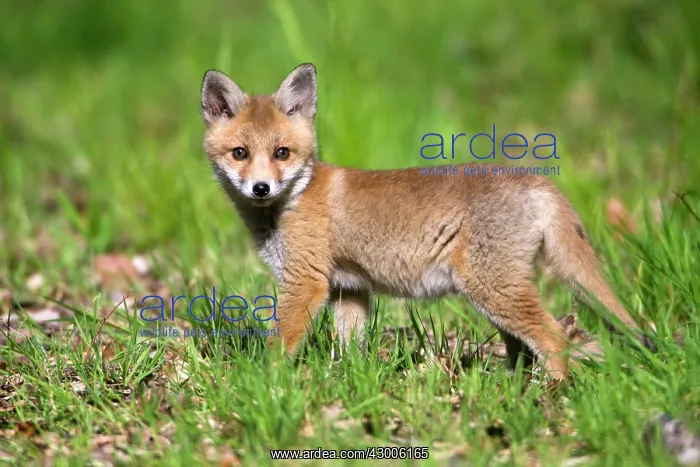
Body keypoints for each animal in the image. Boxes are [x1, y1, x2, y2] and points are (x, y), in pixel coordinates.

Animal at [199, 62, 655, 382]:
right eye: (240, 153)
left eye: (282, 153)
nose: (260, 188)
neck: (293, 201)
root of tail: (535, 180)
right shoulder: (350, 290)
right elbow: (351, 352)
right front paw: (351, 386)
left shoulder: (306, 283)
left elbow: (279, 348)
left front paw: (264, 383)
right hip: (496, 297)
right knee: (524, 351)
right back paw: (509, 390)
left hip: (493, 291)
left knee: (556, 340)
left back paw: (551, 396)